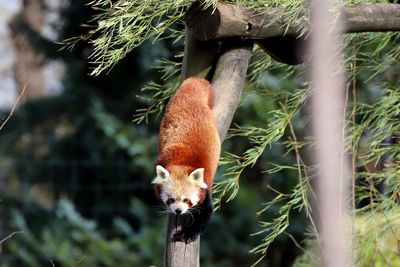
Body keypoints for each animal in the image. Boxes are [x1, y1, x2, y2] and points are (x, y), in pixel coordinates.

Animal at [152, 77, 220, 243]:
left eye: (186, 200)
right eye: (171, 199)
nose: (178, 211)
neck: (182, 164)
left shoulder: (205, 187)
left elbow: (206, 214)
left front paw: (186, 234)